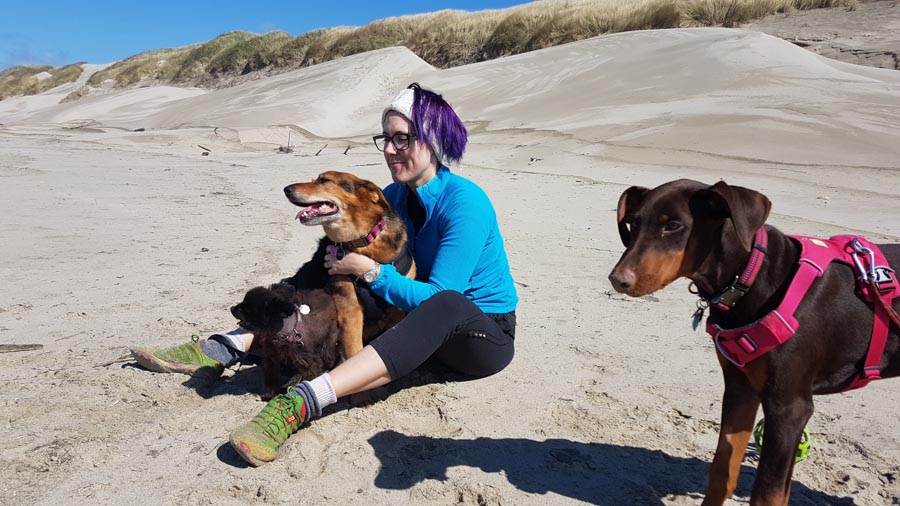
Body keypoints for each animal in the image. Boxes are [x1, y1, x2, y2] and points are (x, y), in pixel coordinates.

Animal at [282, 172, 414, 366]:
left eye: (324, 180)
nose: (286, 189)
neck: (364, 242)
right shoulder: (350, 312)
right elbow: (355, 352)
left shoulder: (397, 310)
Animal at [604, 180, 900, 506]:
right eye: (633, 223)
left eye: (673, 226)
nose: (618, 280)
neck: (750, 277)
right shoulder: (740, 388)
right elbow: (722, 469)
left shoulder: (788, 409)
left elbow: (767, 494)